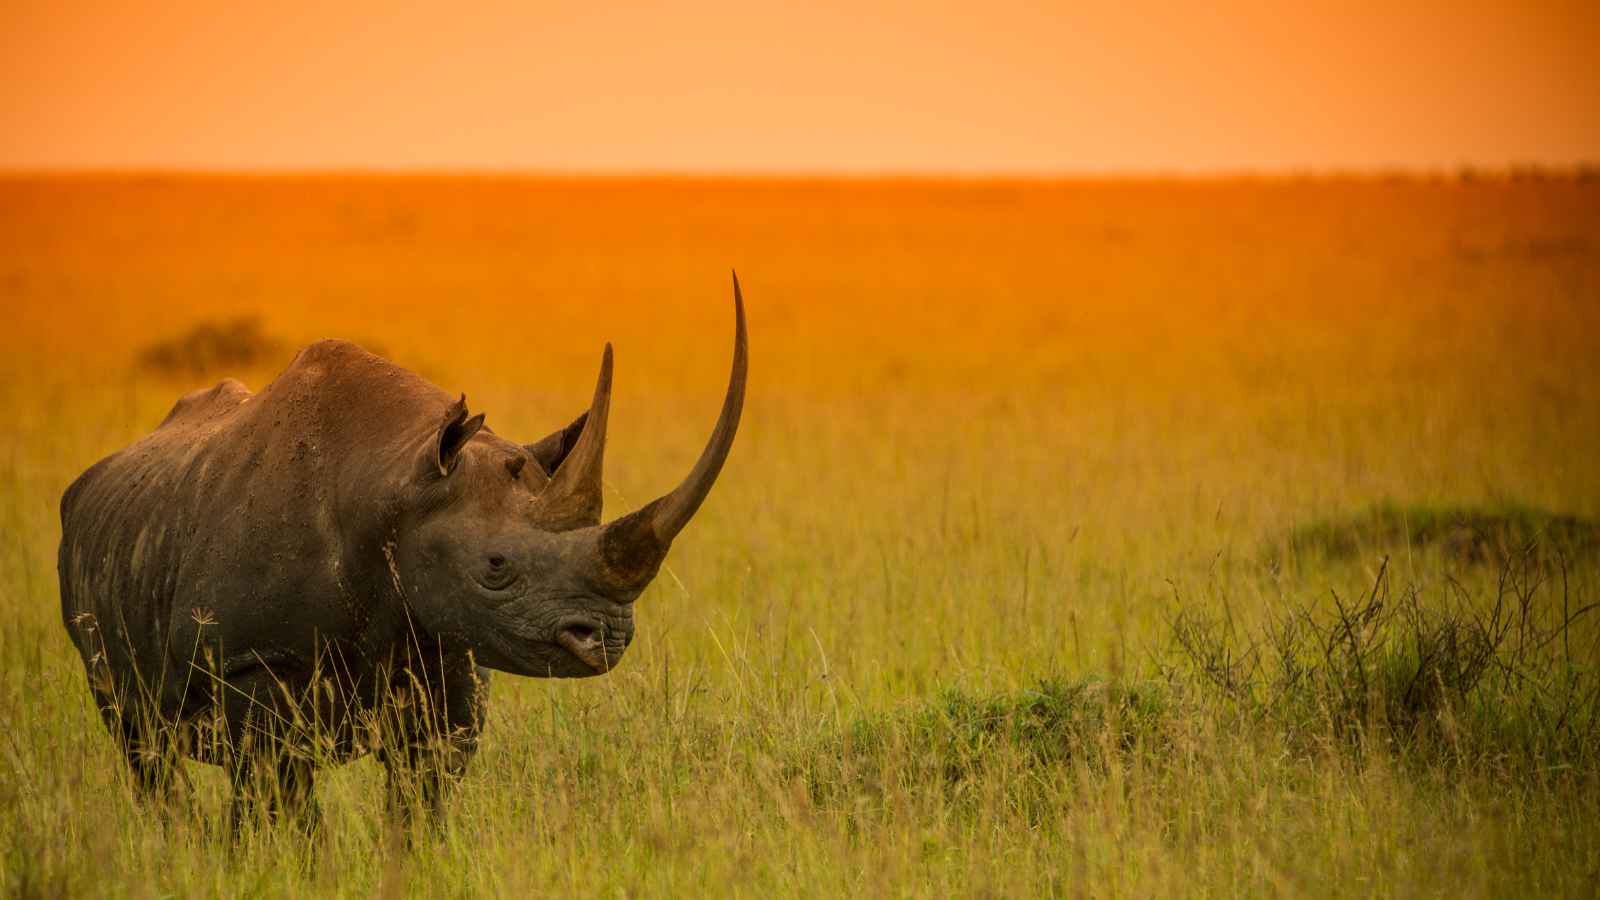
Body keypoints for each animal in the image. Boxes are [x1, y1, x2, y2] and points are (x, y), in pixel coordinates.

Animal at [58, 277, 747, 833]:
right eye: (495, 567)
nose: (607, 636)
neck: (398, 485)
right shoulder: (249, 659)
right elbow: (279, 794)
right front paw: (281, 865)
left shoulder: (451, 651)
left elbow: (422, 796)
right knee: (143, 745)